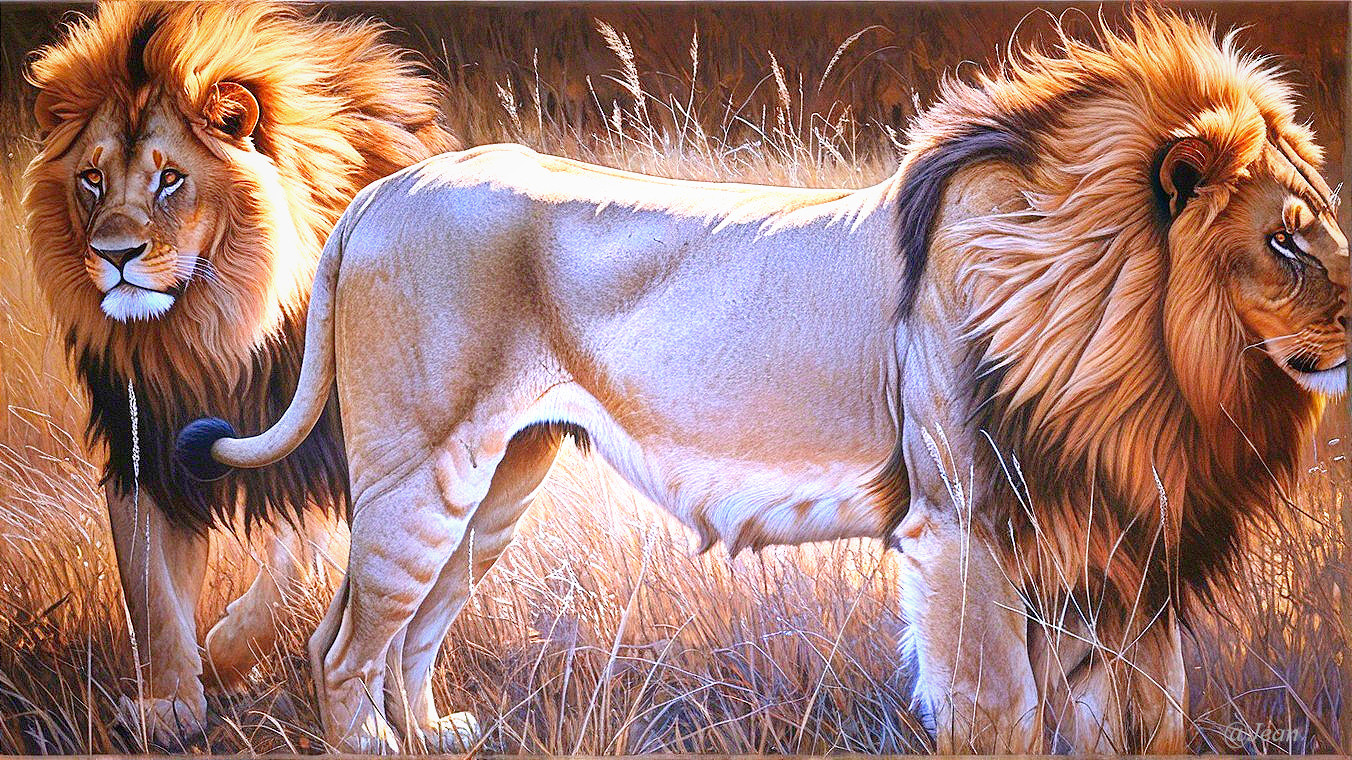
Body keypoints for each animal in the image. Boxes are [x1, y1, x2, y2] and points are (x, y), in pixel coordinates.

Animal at [22, 0, 456, 743]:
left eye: (170, 178)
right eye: (91, 178)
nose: (114, 254)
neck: (211, 341)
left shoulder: (337, 452)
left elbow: (300, 569)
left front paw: (227, 656)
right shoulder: (144, 450)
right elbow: (151, 592)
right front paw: (168, 705)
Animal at [178, 10, 1346, 753]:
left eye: (1319, 222)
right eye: (1286, 241)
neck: (1145, 359)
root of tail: (383, 194)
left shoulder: (1124, 543)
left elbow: (1150, 714)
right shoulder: (964, 527)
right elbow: (1000, 710)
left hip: (499, 476)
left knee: (413, 625)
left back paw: (431, 737)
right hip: (420, 468)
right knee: (342, 642)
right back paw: (371, 742)